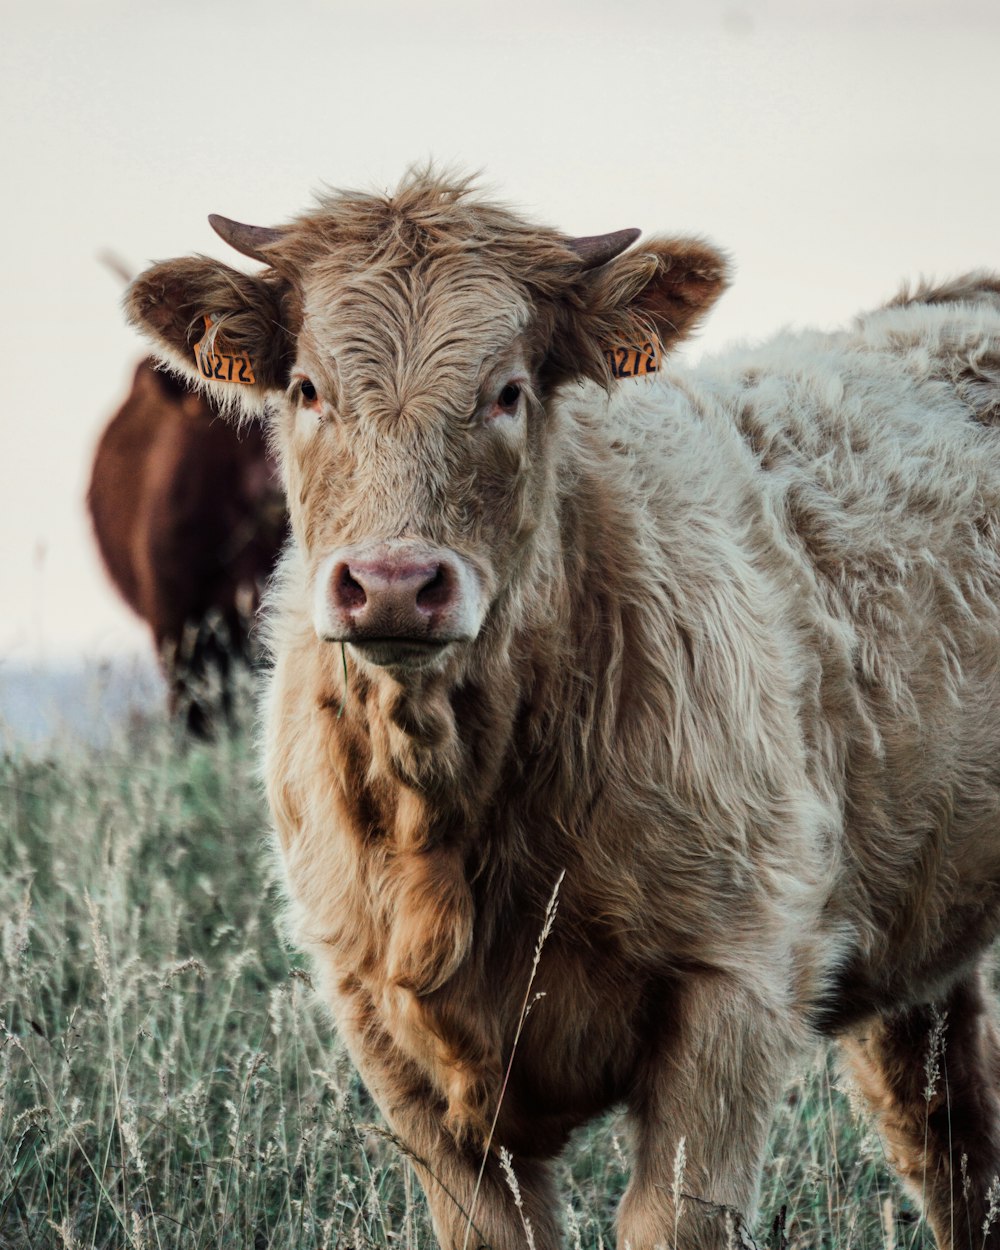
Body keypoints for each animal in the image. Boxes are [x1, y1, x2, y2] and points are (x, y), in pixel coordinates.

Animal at [128, 168, 1000, 1250]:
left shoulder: (736, 985)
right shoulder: (394, 1044)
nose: (392, 583)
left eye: (508, 390)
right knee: (949, 1134)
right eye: (306, 390)